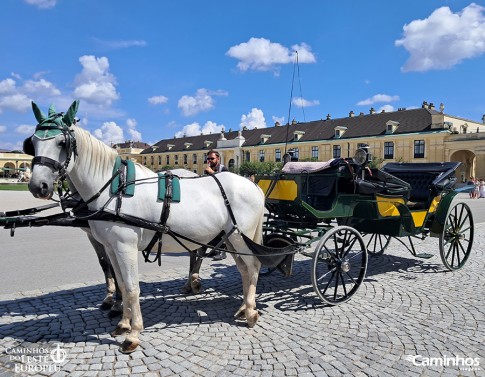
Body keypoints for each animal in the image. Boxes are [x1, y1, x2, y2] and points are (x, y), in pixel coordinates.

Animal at [25, 100, 264, 352]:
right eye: (33, 142)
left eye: (61, 142)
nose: (38, 186)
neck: (114, 189)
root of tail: (252, 185)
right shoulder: (110, 247)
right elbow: (121, 283)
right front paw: (123, 323)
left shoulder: (125, 246)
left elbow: (131, 287)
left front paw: (134, 333)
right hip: (230, 238)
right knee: (244, 269)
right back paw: (243, 307)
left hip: (240, 237)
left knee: (254, 266)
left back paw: (250, 312)